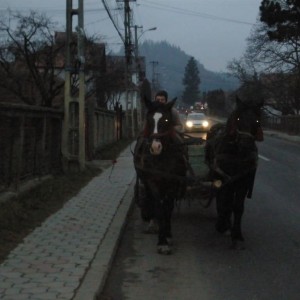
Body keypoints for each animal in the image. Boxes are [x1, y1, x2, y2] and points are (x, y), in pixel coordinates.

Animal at [133, 98, 185, 253]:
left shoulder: (173, 183)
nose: (155, 147)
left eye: (167, 119)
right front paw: (162, 242)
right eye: (149, 119)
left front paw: (167, 235)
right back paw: (152, 224)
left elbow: (168, 207)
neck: (162, 158)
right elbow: (159, 207)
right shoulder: (153, 182)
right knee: (151, 200)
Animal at [205, 97, 264, 250]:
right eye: (238, 118)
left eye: (257, 121)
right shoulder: (225, 178)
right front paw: (222, 225)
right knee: (221, 197)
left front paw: (236, 233)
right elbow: (225, 201)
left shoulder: (242, 181)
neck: (237, 152)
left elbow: (237, 207)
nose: (246, 144)